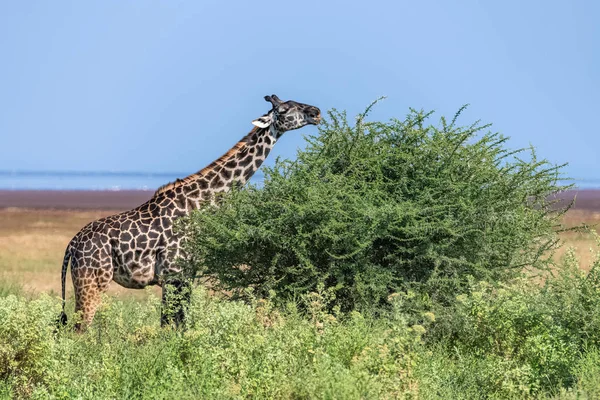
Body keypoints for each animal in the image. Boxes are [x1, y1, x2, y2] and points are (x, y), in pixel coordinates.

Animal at [59, 94, 322, 332]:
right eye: (285, 109)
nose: (316, 112)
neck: (200, 203)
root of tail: (72, 245)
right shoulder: (174, 274)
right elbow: (170, 327)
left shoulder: (185, 276)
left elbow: (178, 325)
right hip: (92, 281)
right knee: (79, 329)